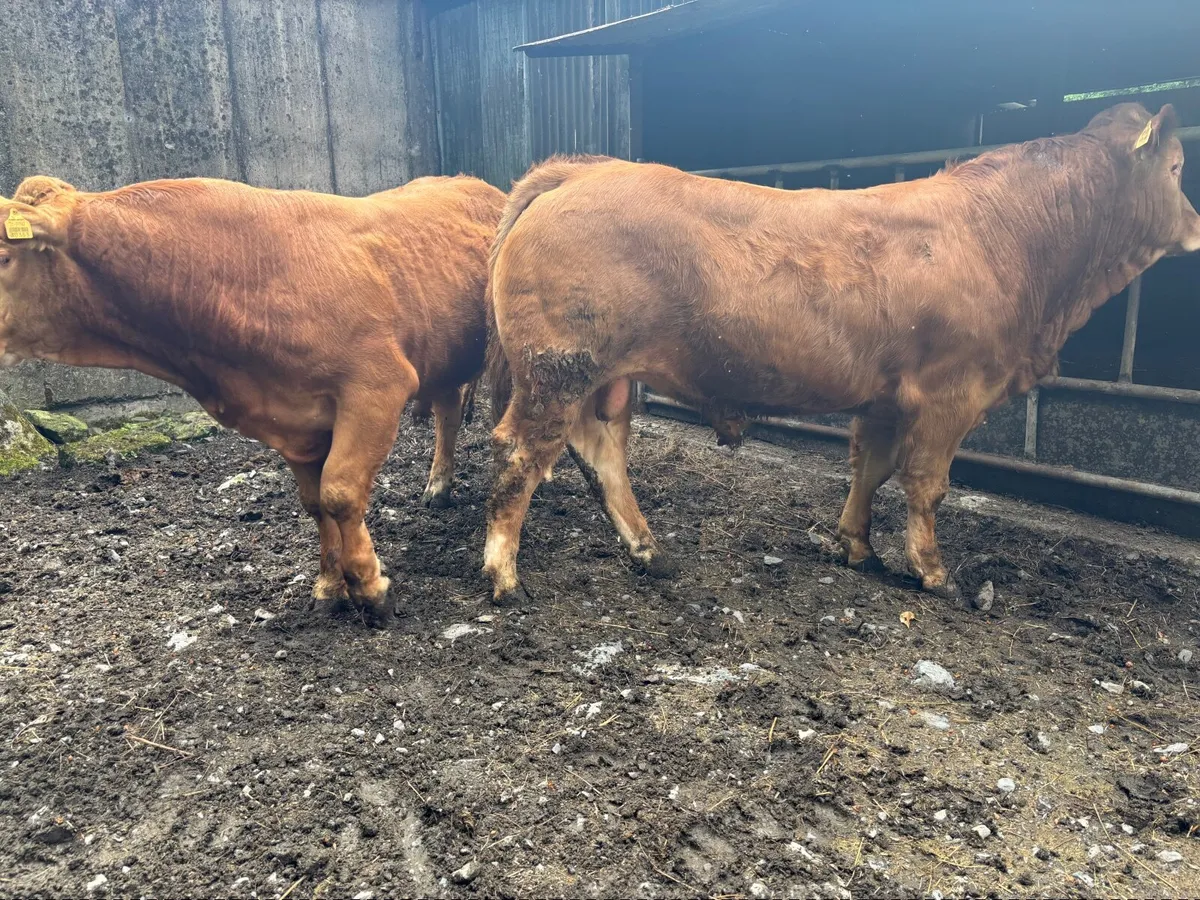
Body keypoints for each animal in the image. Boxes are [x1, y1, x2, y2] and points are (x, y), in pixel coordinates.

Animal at [0, 174, 506, 625]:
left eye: (5, 256)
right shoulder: (295, 419)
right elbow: (315, 502)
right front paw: (329, 588)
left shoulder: (377, 386)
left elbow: (340, 493)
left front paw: (371, 588)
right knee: (447, 410)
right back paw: (438, 485)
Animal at [482, 102, 1200, 605]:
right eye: (1175, 169)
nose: (1195, 226)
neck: (1004, 235)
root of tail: (587, 168)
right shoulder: (953, 393)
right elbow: (927, 483)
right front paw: (934, 572)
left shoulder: (886, 398)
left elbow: (871, 469)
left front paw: (858, 548)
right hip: (557, 368)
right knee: (521, 457)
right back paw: (504, 574)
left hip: (600, 378)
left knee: (599, 452)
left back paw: (649, 551)